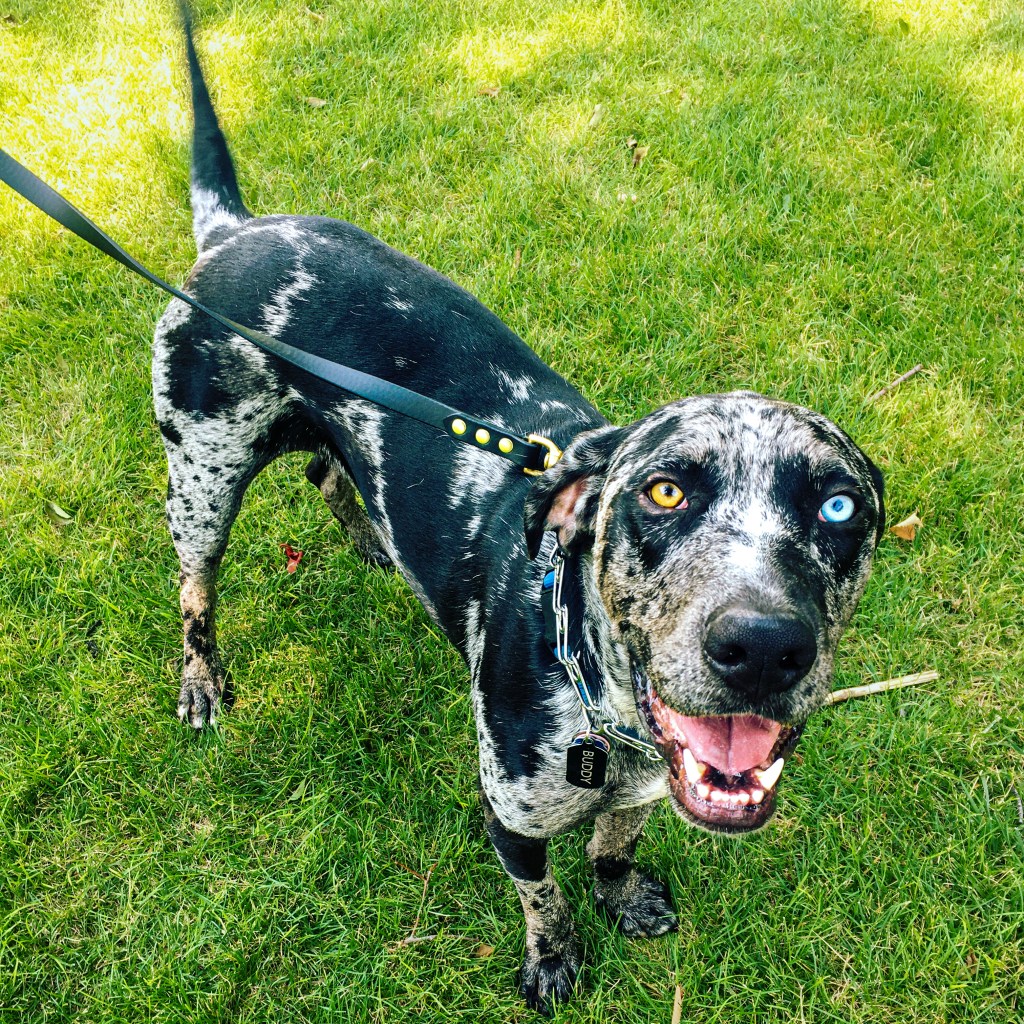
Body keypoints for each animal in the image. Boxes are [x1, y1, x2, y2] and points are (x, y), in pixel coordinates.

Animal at [154, 13, 885, 1014]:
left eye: (840, 505)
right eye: (665, 490)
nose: (765, 645)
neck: (604, 715)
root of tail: (234, 232)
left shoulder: (640, 795)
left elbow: (613, 848)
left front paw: (622, 893)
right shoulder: (512, 815)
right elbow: (543, 896)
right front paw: (552, 956)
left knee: (324, 474)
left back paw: (370, 538)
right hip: (203, 471)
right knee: (196, 583)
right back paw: (200, 677)